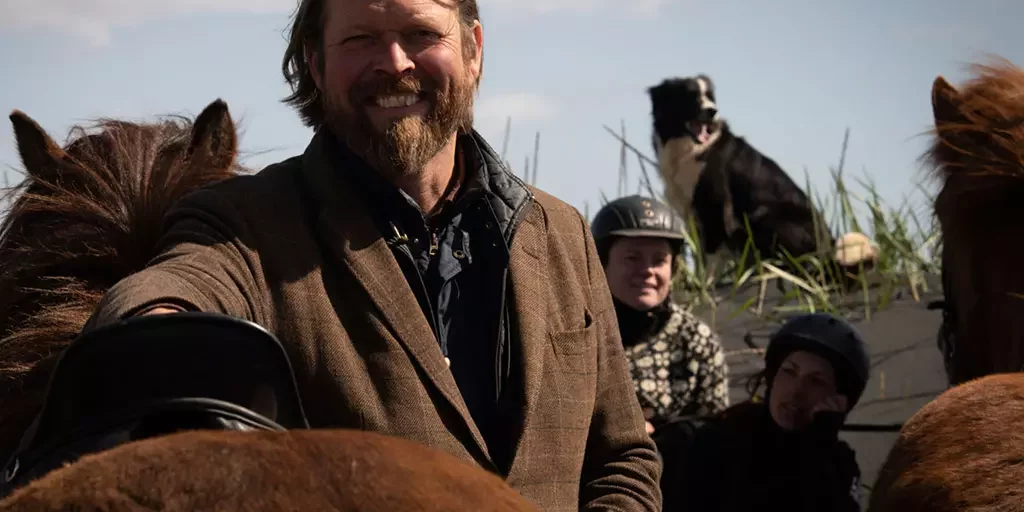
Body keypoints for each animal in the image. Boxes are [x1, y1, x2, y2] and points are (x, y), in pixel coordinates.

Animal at [647, 74, 872, 282]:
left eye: (710, 97)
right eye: (691, 96)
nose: (712, 111)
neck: (690, 148)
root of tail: (830, 244)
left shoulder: (714, 205)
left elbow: (711, 254)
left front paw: (705, 286)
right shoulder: (692, 213)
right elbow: (700, 256)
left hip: (762, 214)